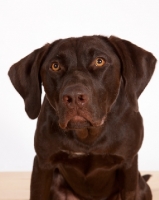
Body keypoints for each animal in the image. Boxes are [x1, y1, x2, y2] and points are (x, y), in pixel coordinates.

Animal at [8, 36, 157, 200]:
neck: (87, 135)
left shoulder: (128, 165)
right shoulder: (43, 163)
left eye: (99, 61)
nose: (74, 97)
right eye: (55, 66)